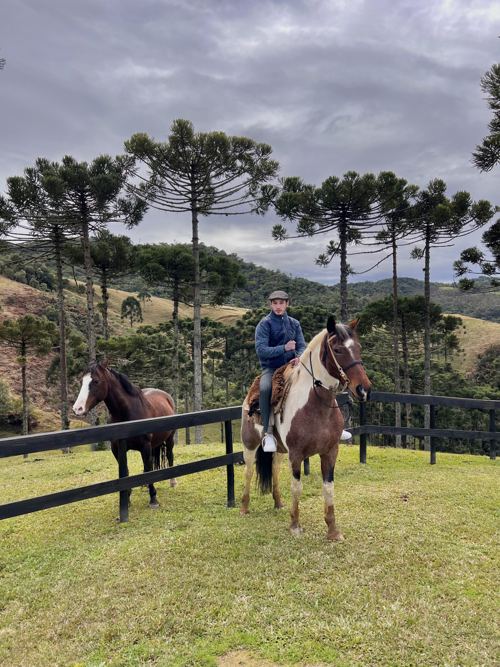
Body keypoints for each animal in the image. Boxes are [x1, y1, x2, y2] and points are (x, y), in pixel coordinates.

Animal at [72, 361, 176, 509]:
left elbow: (149, 468)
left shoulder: (145, 446)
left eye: (96, 381)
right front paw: (127, 498)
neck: (128, 414)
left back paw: (173, 482)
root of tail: (166, 396)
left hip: (169, 439)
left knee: (169, 455)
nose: (77, 409)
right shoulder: (117, 449)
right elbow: (126, 472)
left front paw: (153, 499)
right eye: (82, 381)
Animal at [240, 315, 372, 540]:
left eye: (358, 347)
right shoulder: (296, 454)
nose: (363, 389)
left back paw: (278, 502)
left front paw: (333, 530)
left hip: (279, 450)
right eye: (338, 350)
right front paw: (295, 525)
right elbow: (297, 487)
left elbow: (328, 488)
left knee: (274, 469)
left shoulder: (330, 451)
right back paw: (244, 507)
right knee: (248, 472)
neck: (316, 405)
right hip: (250, 445)